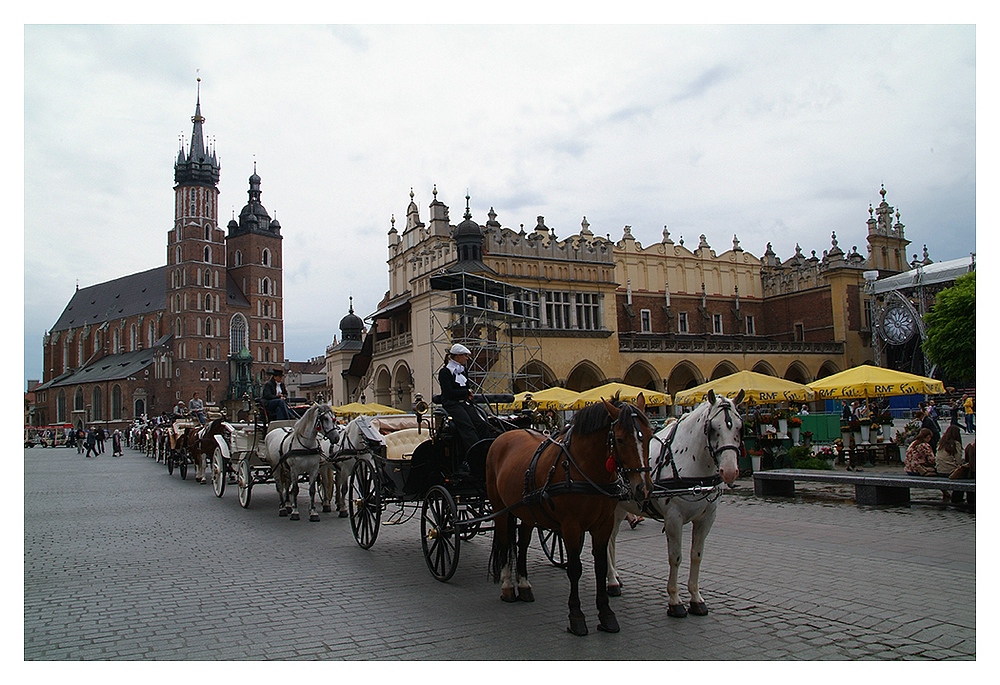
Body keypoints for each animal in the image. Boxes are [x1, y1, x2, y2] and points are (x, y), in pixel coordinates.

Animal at [486, 396, 656, 636]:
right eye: (620, 440)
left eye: (650, 435)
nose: (643, 488)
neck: (586, 468)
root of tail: (504, 436)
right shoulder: (570, 526)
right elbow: (575, 568)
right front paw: (576, 617)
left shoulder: (603, 524)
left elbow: (600, 565)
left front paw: (606, 615)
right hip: (499, 506)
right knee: (503, 541)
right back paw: (508, 586)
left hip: (527, 508)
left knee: (522, 544)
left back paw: (524, 585)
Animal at [604, 388, 748, 616]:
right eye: (712, 428)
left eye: (740, 426)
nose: (730, 471)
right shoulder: (673, 518)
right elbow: (676, 557)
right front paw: (675, 600)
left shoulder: (708, 518)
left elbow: (696, 555)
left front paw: (696, 598)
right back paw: (611, 581)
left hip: (620, 507)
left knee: (610, 540)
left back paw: (614, 577)